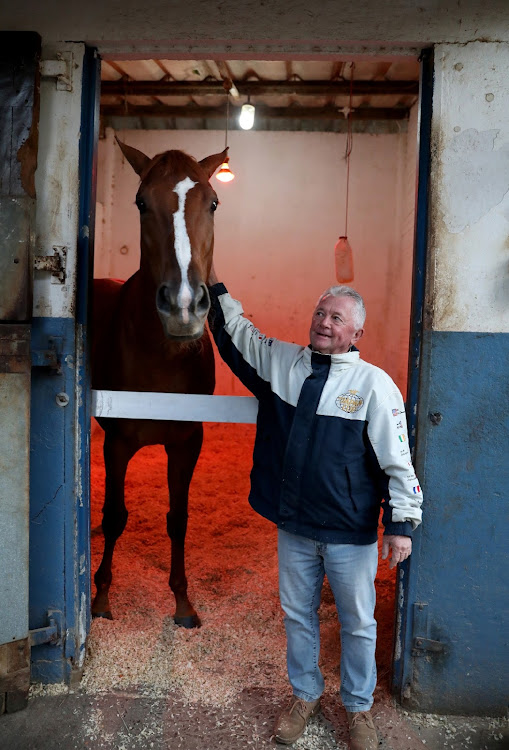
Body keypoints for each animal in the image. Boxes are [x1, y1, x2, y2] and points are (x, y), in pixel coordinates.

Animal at [90, 140, 227, 628]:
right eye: (141, 203)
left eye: (213, 203)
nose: (184, 306)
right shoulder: (117, 443)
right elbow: (116, 514)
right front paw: (100, 599)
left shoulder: (187, 443)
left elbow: (178, 518)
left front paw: (183, 603)